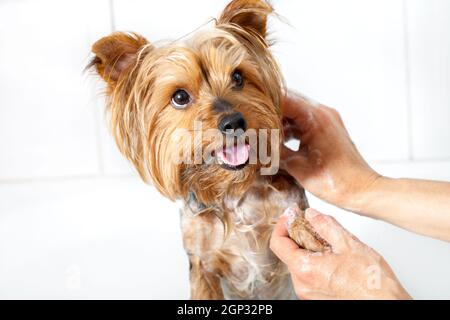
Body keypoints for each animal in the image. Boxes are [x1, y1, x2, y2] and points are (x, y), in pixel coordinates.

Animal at [89, 0, 326, 300]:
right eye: (180, 97)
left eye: (238, 77)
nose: (234, 122)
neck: (234, 194)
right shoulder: (201, 261)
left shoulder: (289, 208)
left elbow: (304, 230)